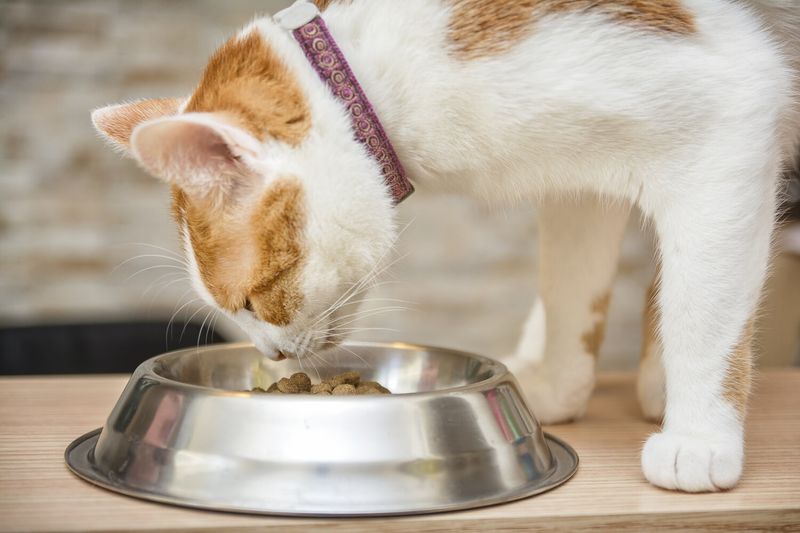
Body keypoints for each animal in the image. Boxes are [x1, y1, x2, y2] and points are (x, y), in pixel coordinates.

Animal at [90, 0, 800, 490]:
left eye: (254, 303)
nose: (272, 355)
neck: (375, 79)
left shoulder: (735, 101)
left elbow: (702, 312)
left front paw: (700, 435)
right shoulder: (584, 178)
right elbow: (572, 288)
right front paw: (561, 384)